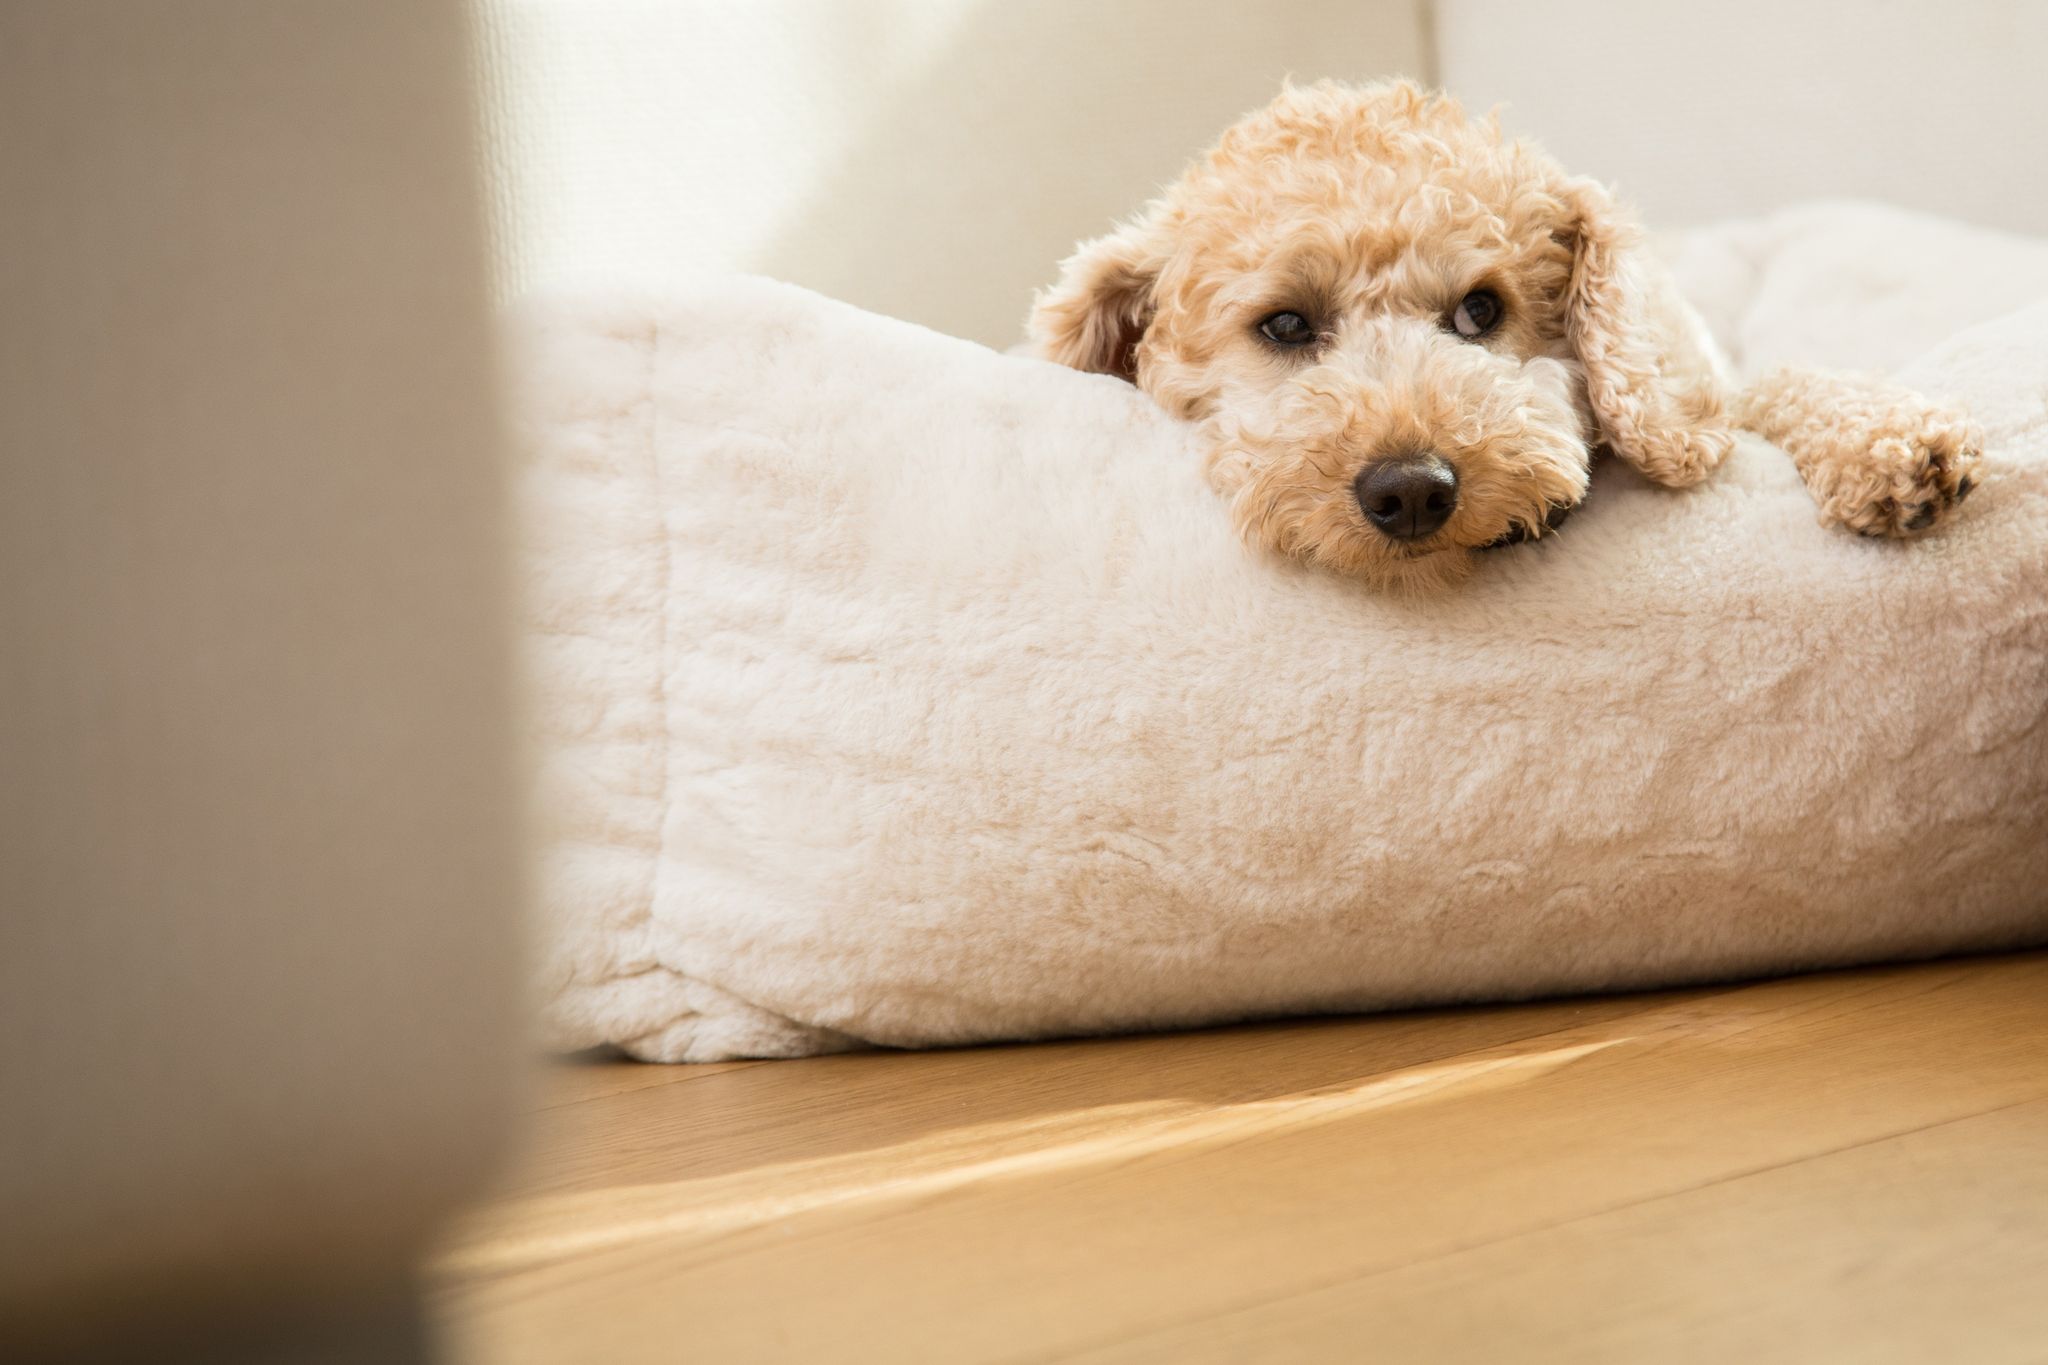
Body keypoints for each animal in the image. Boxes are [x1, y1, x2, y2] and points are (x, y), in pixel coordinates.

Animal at [1032, 80, 1974, 589]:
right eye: (1287, 324)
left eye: (1480, 311)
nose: (1412, 489)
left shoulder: (1702, 385)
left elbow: (1769, 388)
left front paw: (1885, 443)